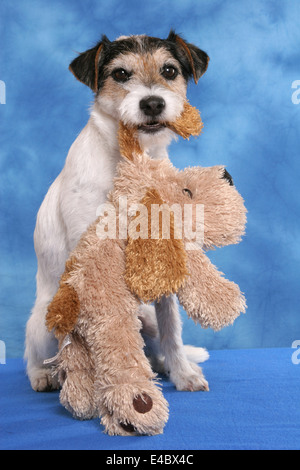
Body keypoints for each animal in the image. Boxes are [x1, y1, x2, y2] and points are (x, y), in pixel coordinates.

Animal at [24, 30, 210, 392]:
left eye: (169, 71)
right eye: (121, 74)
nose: (152, 103)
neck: (130, 161)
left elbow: (172, 330)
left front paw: (182, 373)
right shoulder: (84, 262)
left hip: (146, 317)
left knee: (152, 343)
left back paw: (160, 365)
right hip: (41, 320)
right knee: (35, 352)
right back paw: (44, 375)